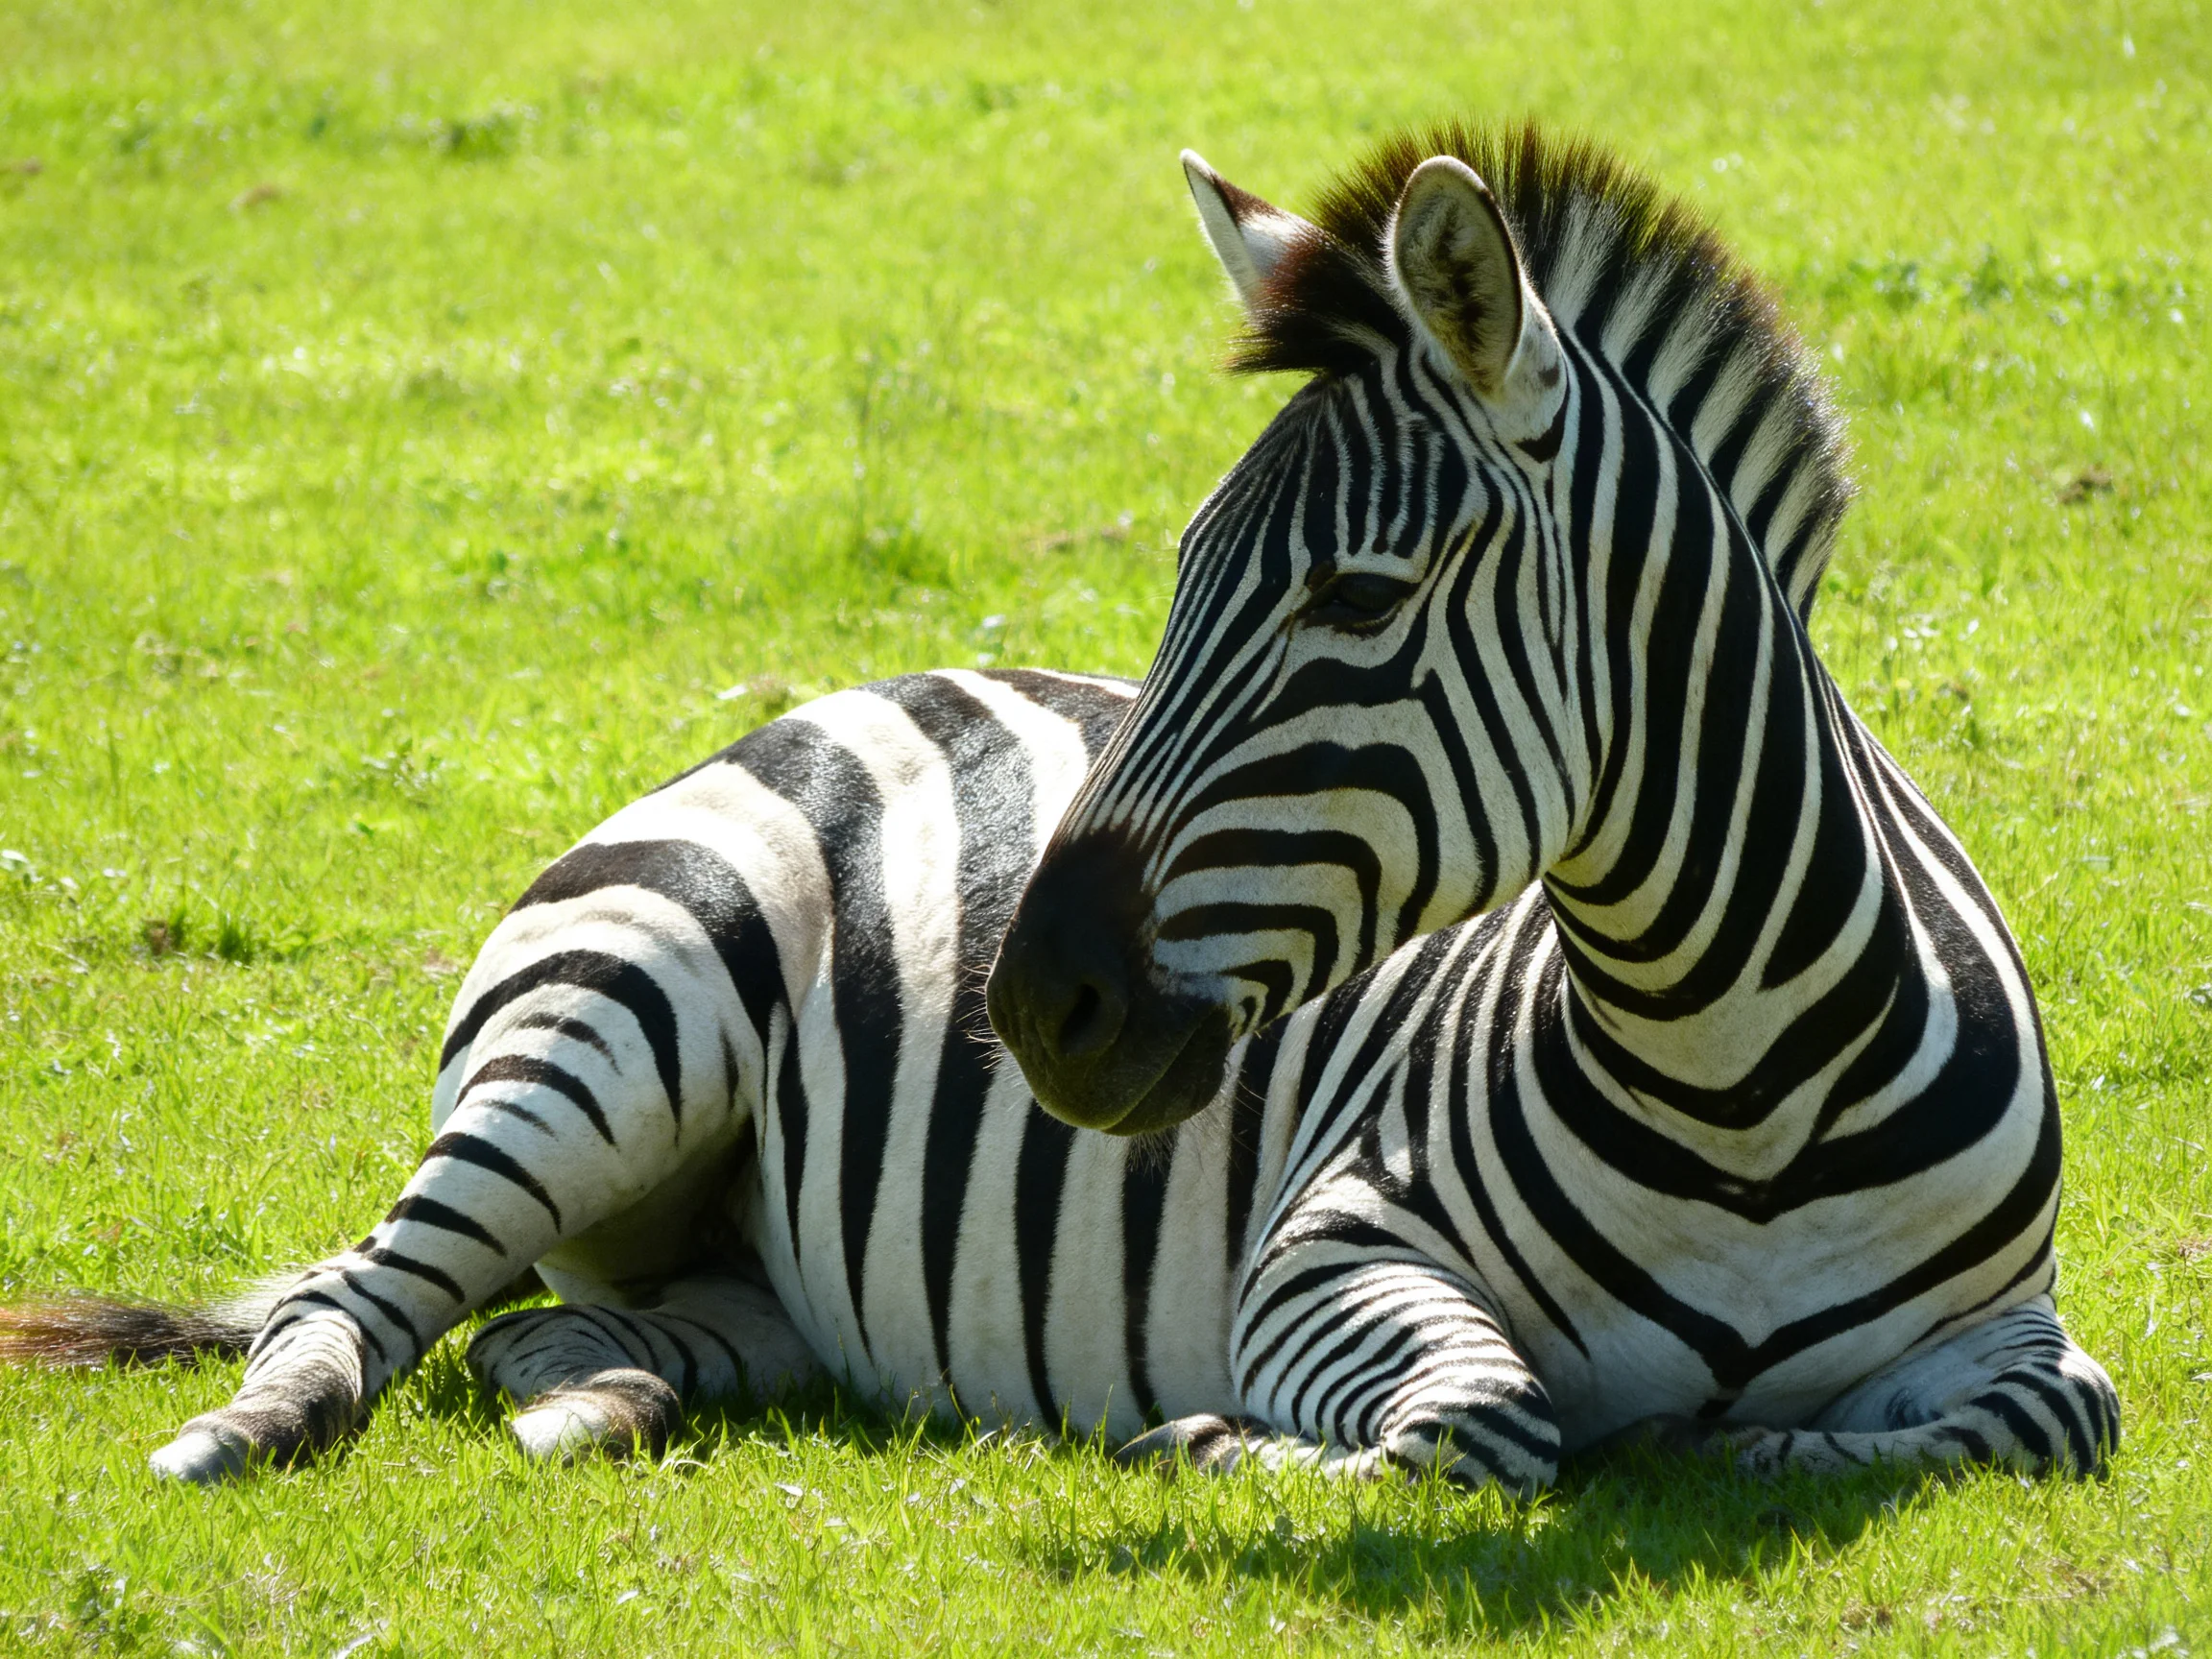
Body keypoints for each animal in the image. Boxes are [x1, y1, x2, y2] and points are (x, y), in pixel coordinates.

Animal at [0, 122, 2117, 1491]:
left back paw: (591, 1407)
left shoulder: (2029, 1336)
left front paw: (1776, 1444)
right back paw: (243, 1432)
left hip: (727, 1273)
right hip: (607, 1027)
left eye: (1357, 601)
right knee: (354, 1300)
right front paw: (1210, 1438)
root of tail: (849, 688)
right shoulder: (1324, 1253)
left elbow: (2032, 1420)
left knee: (549, 1335)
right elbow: (1481, 1424)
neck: (1741, 1084)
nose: (1033, 1007)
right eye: (1174, 578)